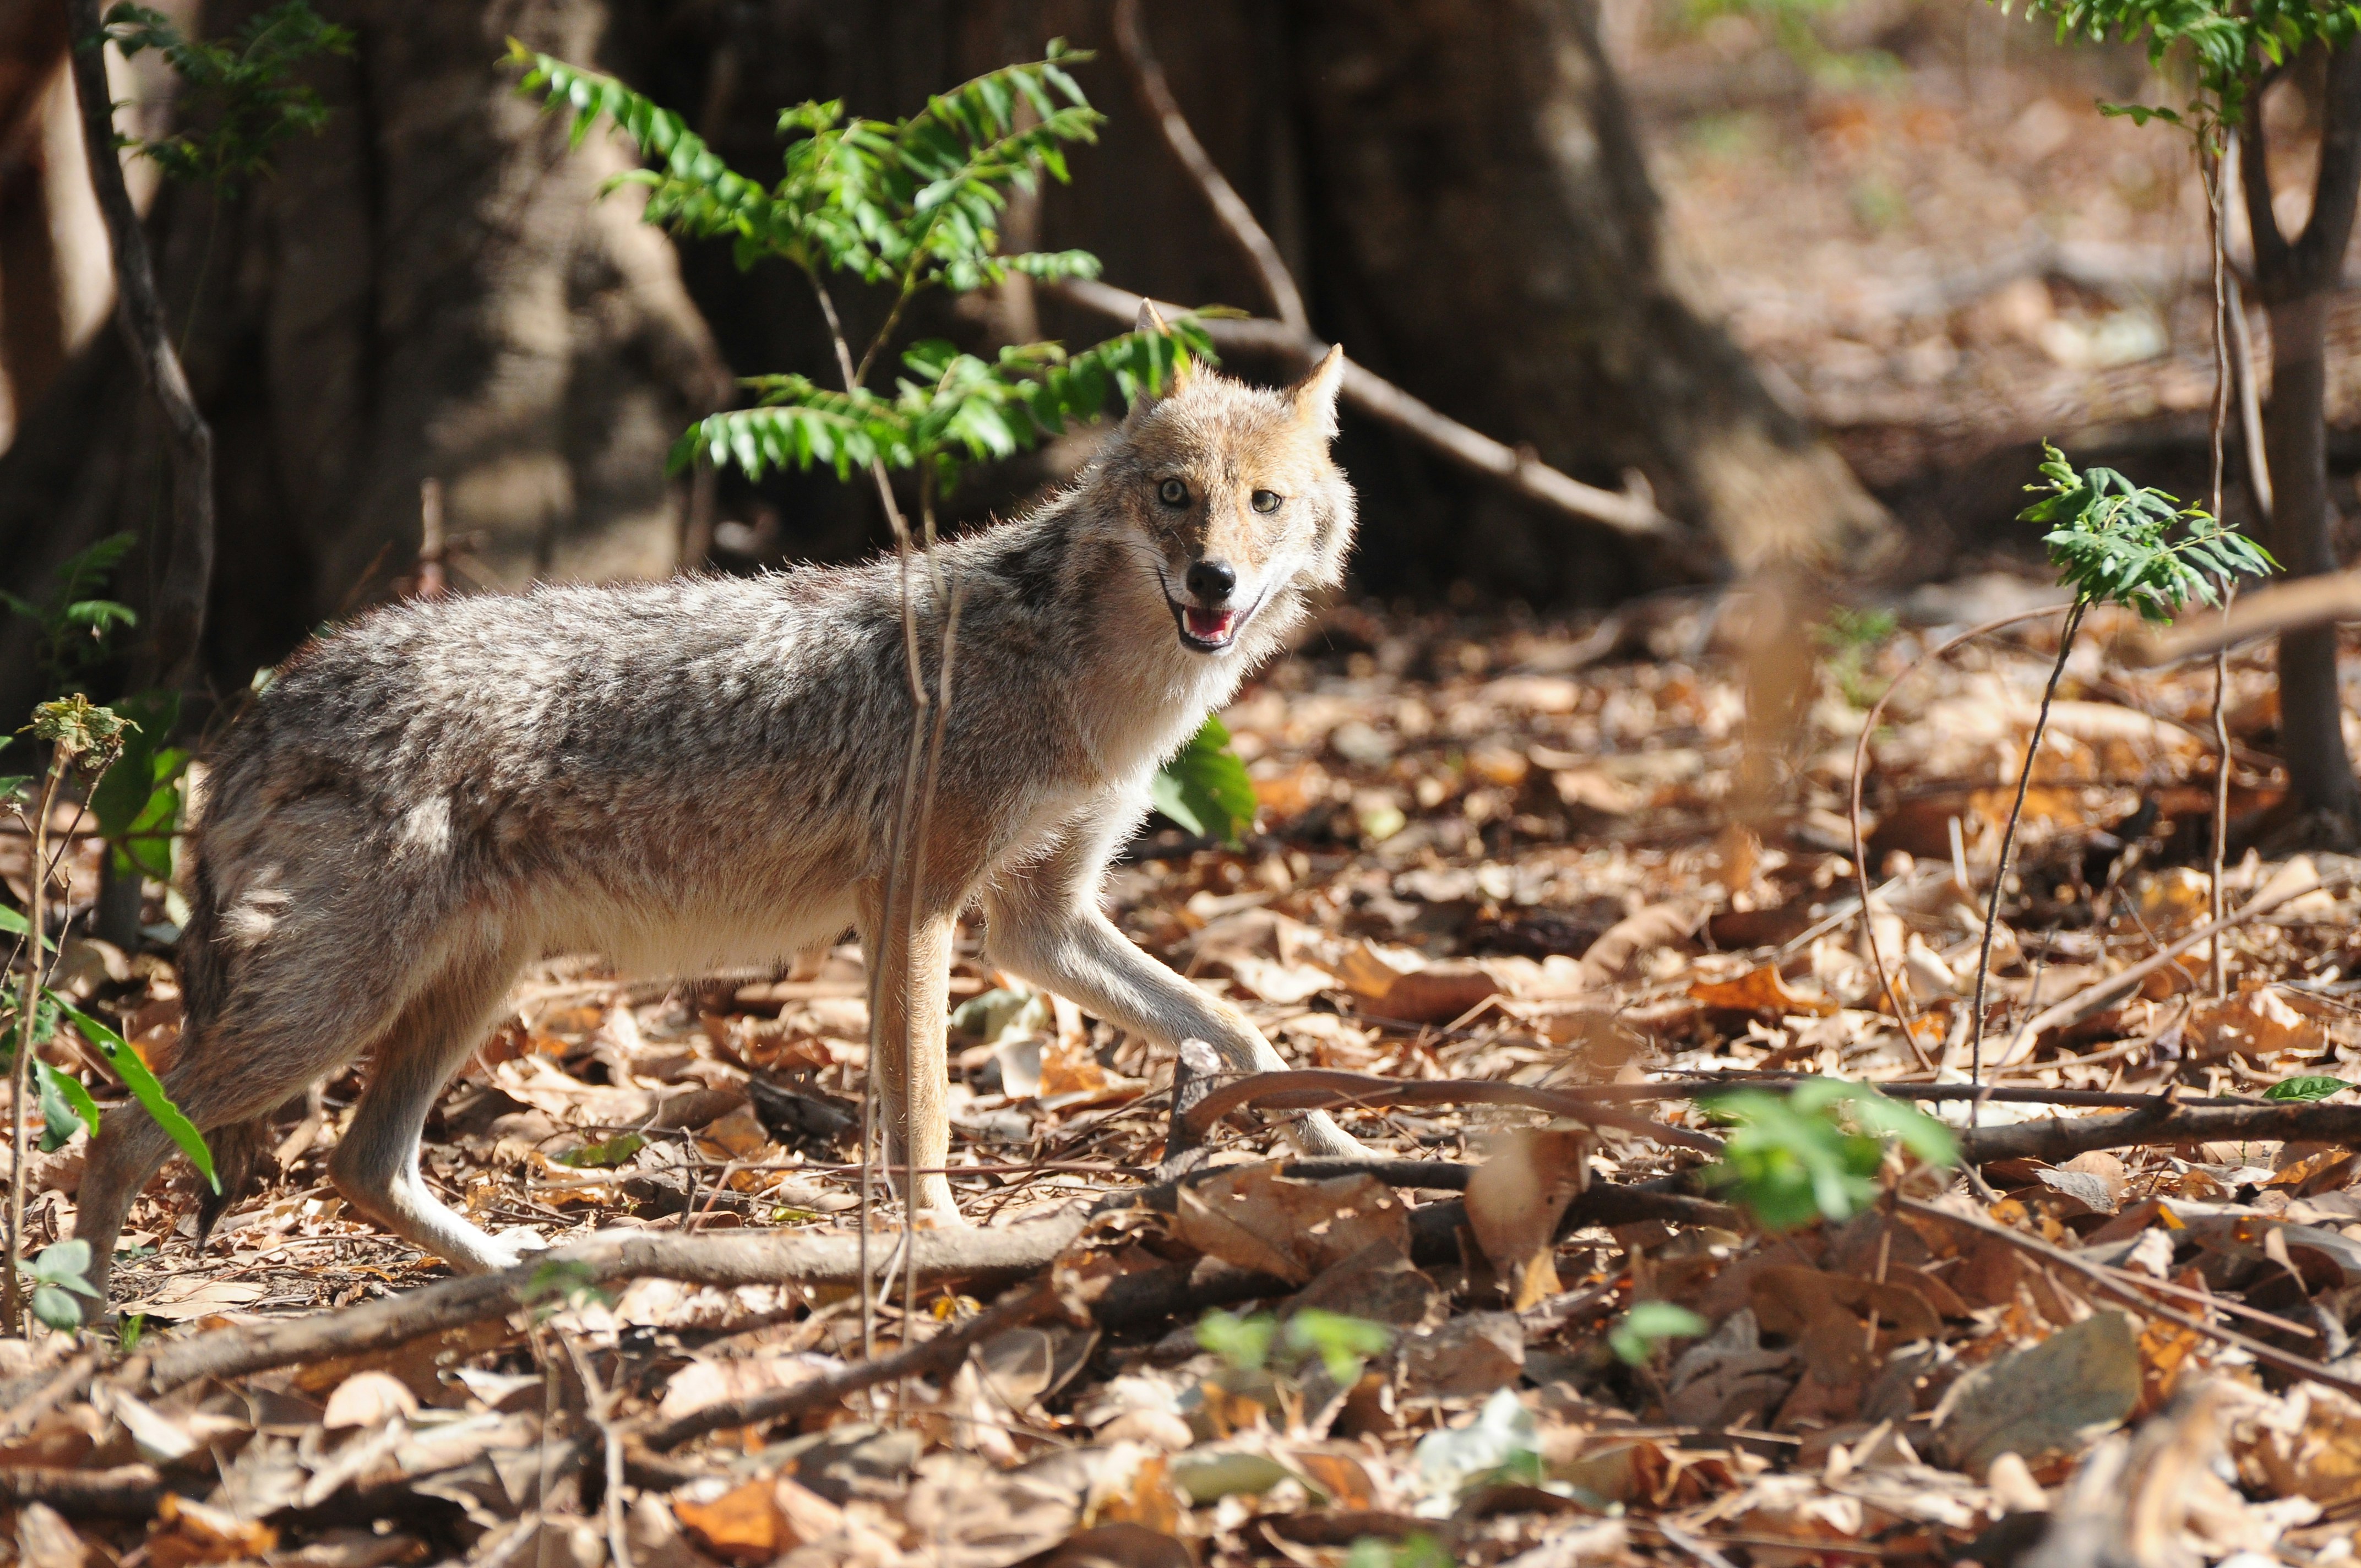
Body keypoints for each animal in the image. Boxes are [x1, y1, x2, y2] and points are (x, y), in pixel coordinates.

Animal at [70, 311, 1368, 1305]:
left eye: (1262, 503)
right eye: (1174, 495)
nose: (1212, 581)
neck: (1075, 672)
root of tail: (272, 695)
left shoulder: (1033, 923)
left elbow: (1239, 1029)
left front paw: (1339, 1140)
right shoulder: (915, 905)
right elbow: (925, 1113)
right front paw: (949, 1243)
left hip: (464, 987)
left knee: (360, 1163)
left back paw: (531, 1277)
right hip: (337, 1007)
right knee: (120, 1129)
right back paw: (84, 1331)